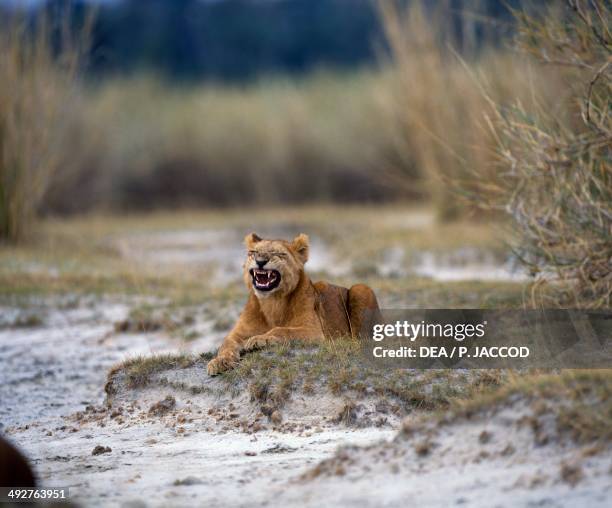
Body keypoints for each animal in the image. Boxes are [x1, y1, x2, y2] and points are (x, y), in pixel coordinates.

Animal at [207, 232, 378, 376]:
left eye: (277, 254)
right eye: (253, 252)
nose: (260, 261)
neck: (271, 302)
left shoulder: (314, 332)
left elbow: (282, 330)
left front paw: (259, 339)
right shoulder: (237, 334)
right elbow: (226, 345)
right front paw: (219, 362)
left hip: (361, 289)